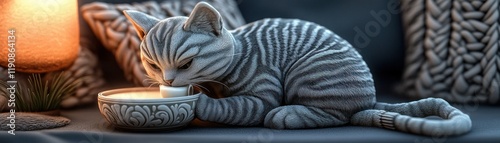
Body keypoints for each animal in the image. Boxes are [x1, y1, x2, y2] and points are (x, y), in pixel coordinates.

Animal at [123, 2, 470, 136]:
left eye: (186, 64)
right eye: (153, 65)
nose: (167, 80)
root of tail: (370, 99)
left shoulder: (261, 94)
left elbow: (231, 107)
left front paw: (198, 102)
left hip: (309, 71)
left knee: (336, 115)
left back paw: (287, 115)